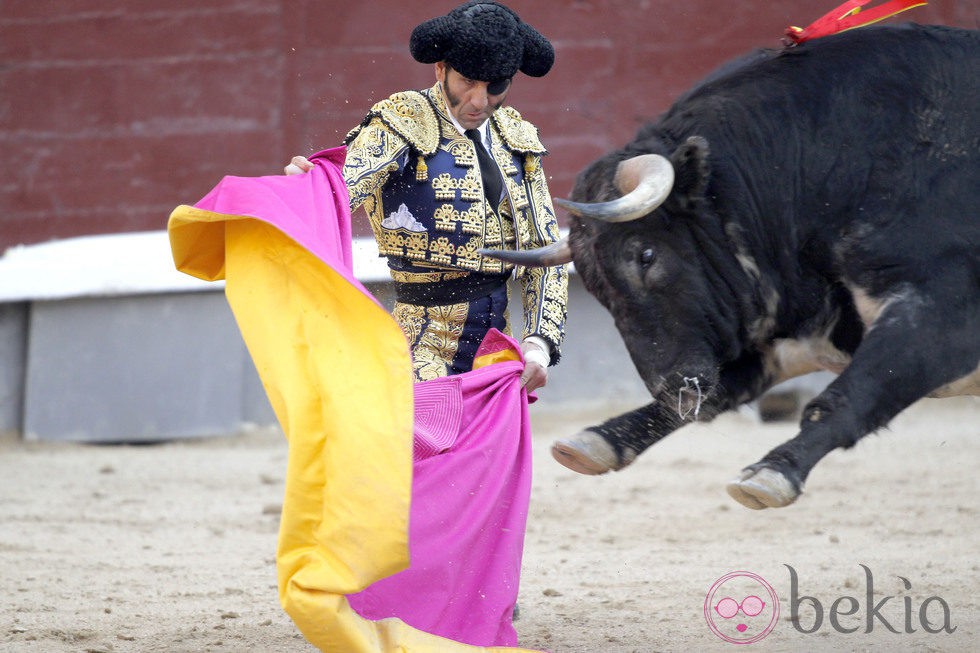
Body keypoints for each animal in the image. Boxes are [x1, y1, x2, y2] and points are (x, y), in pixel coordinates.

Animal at [484, 25, 980, 510]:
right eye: (594, 286)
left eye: (646, 256)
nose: (672, 389)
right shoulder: (792, 332)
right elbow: (722, 390)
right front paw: (596, 441)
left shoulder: (940, 313)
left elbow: (852, 393)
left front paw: (772, 473)